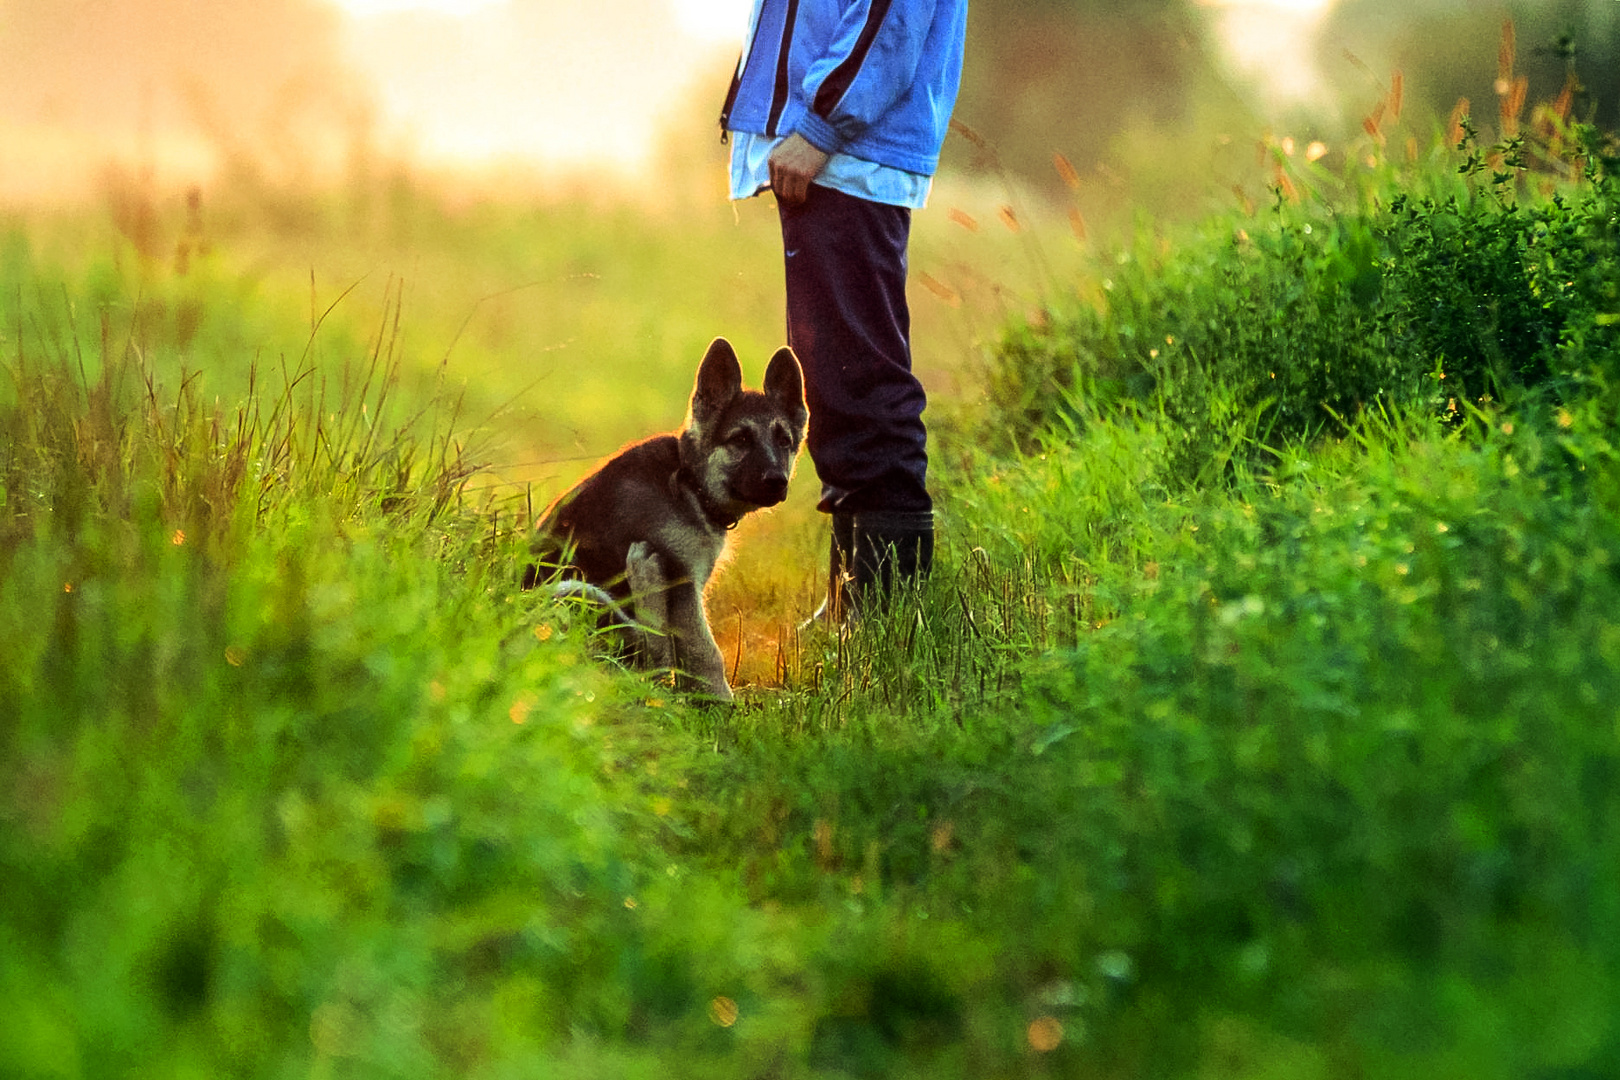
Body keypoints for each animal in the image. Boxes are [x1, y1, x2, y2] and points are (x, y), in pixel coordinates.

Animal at [528, 341, 806, 705]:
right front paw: (722, 704)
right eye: (740, 440)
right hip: (576, 590)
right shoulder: (684, 583)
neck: (690, 484)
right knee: (644, 668)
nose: (776, 480)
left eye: (784, 441)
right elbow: (705, 654)